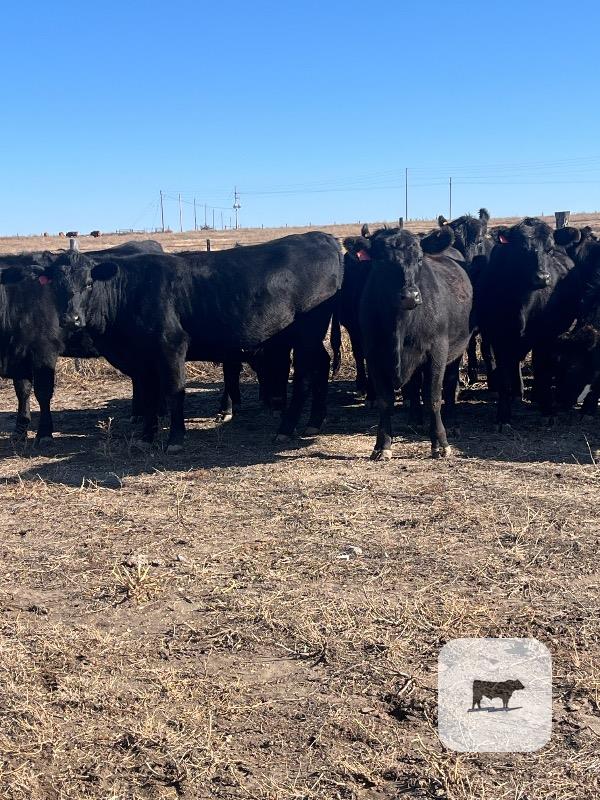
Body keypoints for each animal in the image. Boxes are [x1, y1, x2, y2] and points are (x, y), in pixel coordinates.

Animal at [38, 232, 344, 452]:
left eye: (89, 283)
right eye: (56, 284)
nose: (71, 319)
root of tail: (320, 237)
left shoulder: (171, 346)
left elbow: (174, 391)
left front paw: (175, 439)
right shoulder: (143, 359)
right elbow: (150, 395)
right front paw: (146, 437)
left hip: (306, 334)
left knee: (304, 374)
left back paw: (286, 428)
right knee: (321, 364)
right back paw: (314, 422)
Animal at [359, 226, 473, 460]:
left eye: (420, 259)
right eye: (381, 260)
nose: (410, 296)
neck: (400, 324)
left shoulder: (437, 352)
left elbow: (433, 397)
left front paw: (440, 443)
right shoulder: (373, 355)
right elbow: (385, 401)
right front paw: (382, 446)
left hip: (456, 353)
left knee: (449, 386)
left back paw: (452, 423)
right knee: (413, 386)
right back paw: (415, 420)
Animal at [476, 218, 573, 427]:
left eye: (549, 249)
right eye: (522, 249)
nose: (542, 277)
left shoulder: (545, 337)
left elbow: (542, 370)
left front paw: (547, 409)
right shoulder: (500, 338)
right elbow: (504, 375)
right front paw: (503, 416)